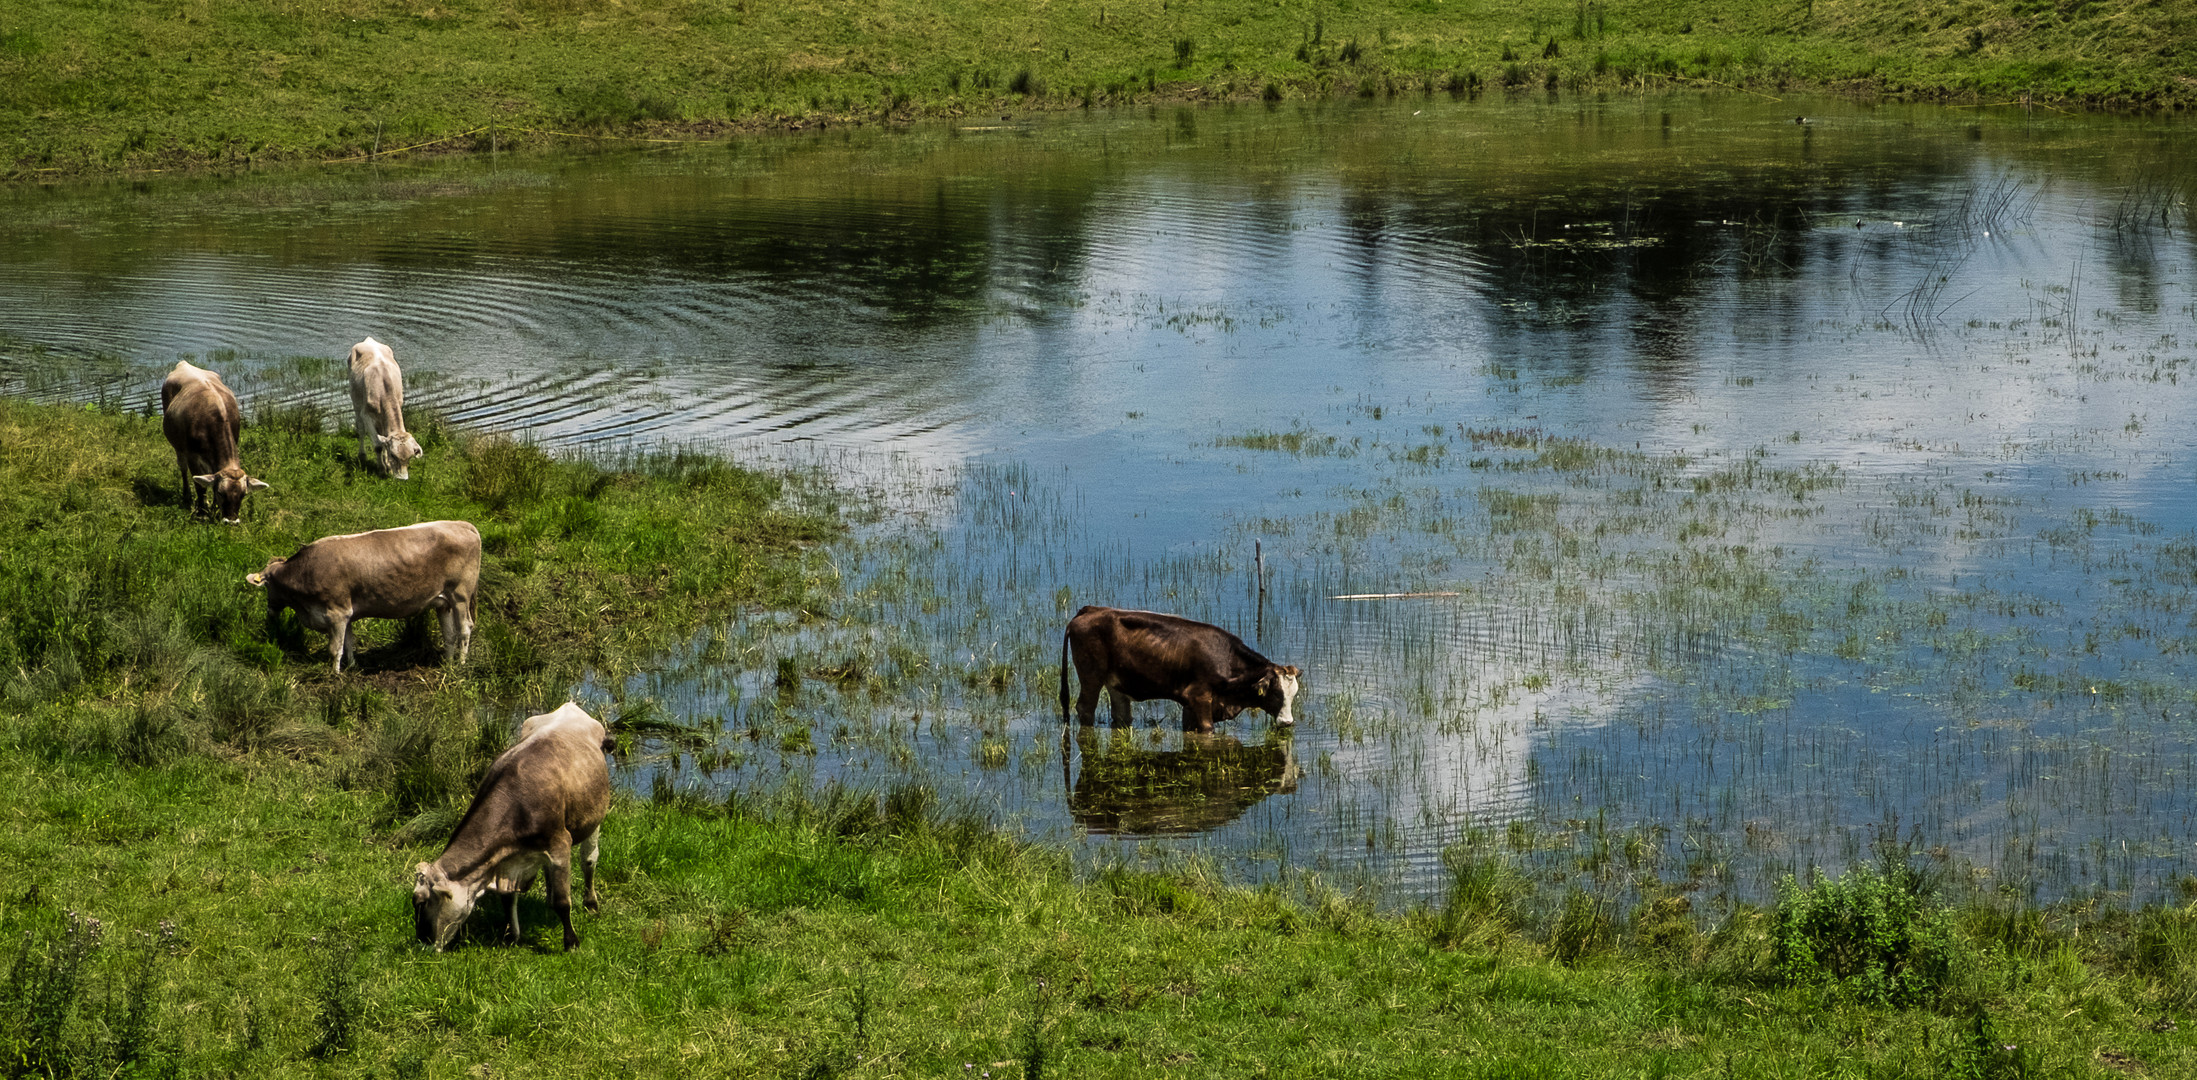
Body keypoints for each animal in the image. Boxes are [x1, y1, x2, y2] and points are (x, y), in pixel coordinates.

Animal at [160, 360, 270, 524]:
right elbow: (200, 486)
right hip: (178, 447)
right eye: (221, 492)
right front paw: (202, 511)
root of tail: (183, 364)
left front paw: (214, 509)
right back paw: (187, 495)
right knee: (182, 467)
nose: (231, 521)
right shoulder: (192, 457)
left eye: (243, 495)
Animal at [242, 518, 478, 671]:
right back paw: (447, 663)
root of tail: (462, 524)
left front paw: (335, 674)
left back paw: (461, 665)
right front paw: (352, 668)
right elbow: (348, 642)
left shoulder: (337, 612)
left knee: (464, 628)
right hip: (443, 601)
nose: (270, 611)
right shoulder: (347, 613)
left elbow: (335, 648)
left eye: (267, 587)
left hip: (460, 595)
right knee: (449, 633)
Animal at [347, 335, 424, 478]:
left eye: (410, 457)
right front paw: (382, 469)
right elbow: (378, 445)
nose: (402, 478)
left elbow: (383, 440)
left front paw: (387, 466)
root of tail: (369, 340)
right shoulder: (366, 415)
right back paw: (362, 455)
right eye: (393, 455)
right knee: (361, 429)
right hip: (356, 401)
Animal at [413, 702, 615, 948]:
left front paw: (571, 943)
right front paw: (510, 936)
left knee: (588, 861)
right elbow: (508, 899)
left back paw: (591, 904)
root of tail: (570, 706)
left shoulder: (559, 844)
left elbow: (563, 902)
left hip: (594, 817)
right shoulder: (508, 863)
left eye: (421, 903)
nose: (422, 943)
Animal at [1054, 605, 1291, 733]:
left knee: (1121, 715)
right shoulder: (1199, 697)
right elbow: (1208, 729)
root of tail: (1090, 610)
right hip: (1091, 676)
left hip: (1116, 683)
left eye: (1294, 695)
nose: (1288, 722)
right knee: (1085, 708)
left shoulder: (1190, 705)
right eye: (1276, 693)